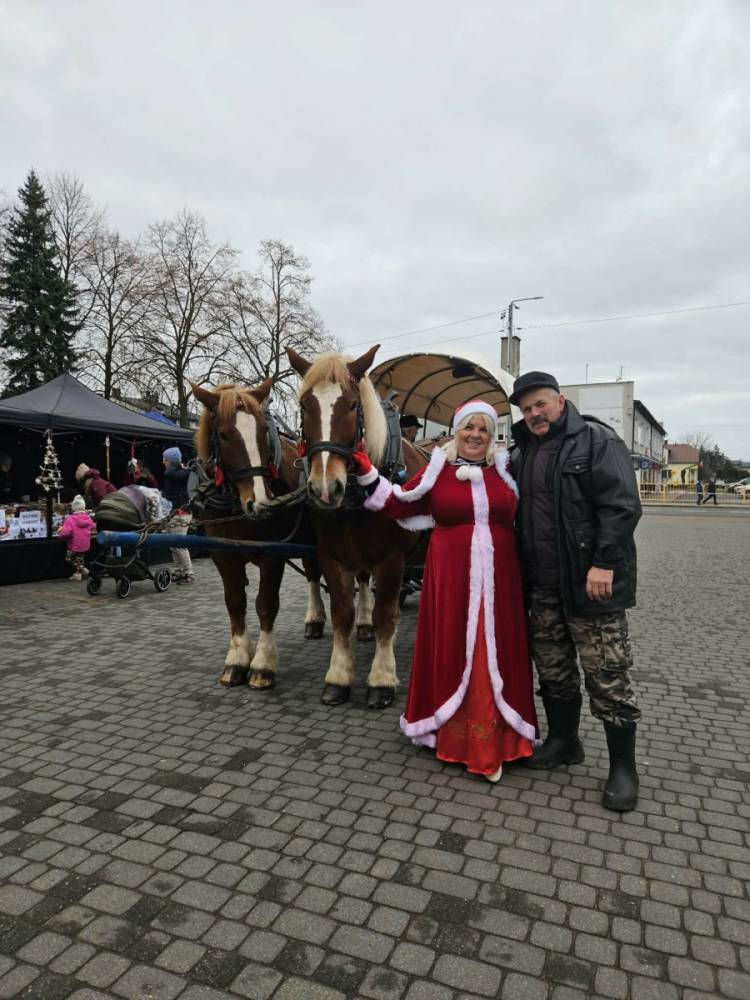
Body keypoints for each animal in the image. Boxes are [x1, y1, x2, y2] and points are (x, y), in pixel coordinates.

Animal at [192, 378, 326, 689]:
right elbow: (235, 602)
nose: (262, 504)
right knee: (313, 573)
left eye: (265, 430)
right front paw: (237, 658)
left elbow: (265, 604)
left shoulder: (272, 553)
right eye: (224, 435)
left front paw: (262, 664)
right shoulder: (222, 552)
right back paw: (314, 620)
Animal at [287, 344, 429, 709]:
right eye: (304, 405)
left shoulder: (392, 559)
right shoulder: (333, 555)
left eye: (352, 405)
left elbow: (386, 616)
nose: (325, 488)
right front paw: (338, 676)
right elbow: (342, 615)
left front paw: (381, 680)